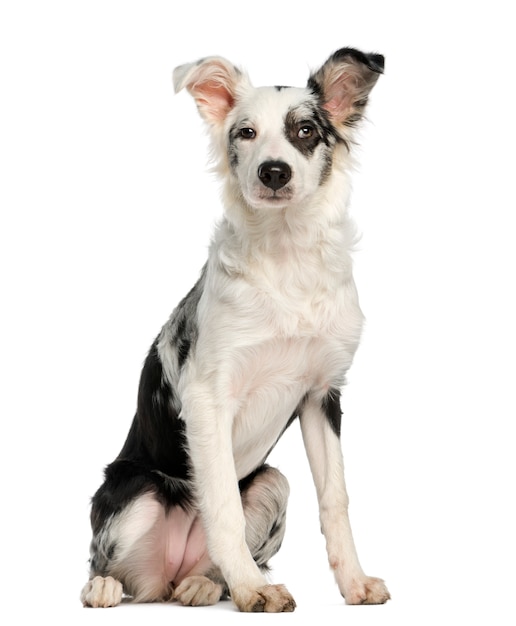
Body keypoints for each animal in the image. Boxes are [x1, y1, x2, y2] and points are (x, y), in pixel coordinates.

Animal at [80, 47, 390, 608]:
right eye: (245, 132)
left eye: (305, 130)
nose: (273, 172)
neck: (287, 258)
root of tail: (167, 576)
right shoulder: (208, 397)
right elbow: (221, 503)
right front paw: (253, 590)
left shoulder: (322, 394)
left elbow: (335, 499)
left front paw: (353, 582)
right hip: (132, 492)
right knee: (107, 563)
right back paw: (105, 586)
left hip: (273, 482)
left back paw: (207, 582)